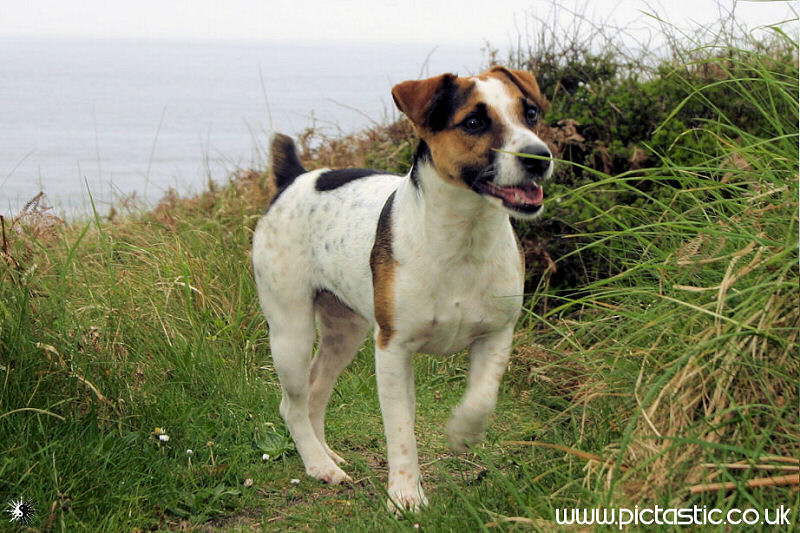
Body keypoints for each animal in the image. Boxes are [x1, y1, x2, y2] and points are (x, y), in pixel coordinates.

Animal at [253, 66, 552, 512]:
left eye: (530, 113)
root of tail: (294, 178)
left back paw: (327, 454)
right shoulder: (393, 350)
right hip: (291, 332)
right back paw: (319, 466)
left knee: (315, 391)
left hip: (346, 331)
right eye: (473, 122)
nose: (539, 156)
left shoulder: (497, 335)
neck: (463, 238)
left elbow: (482, 398)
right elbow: (400, 430)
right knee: (292, 404)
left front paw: (462, 432)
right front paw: (405, 494)